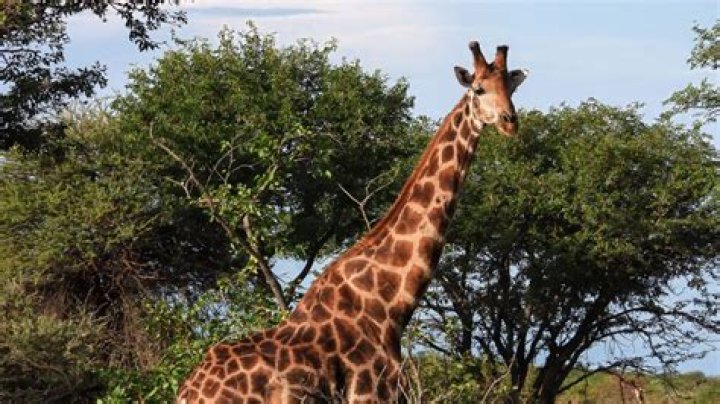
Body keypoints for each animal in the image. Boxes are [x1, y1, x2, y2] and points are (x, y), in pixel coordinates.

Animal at [177, 40, 528, 404]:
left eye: (512, 87)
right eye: (478, 89)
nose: (510, 122)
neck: (389, 305)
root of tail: (188, 391)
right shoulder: (370, 394)